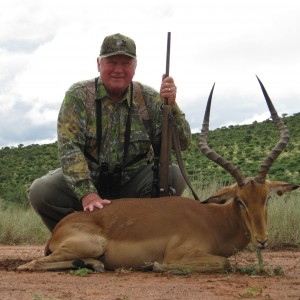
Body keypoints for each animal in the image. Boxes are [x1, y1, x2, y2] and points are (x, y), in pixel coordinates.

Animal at [18, 76, 298, 274]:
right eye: (240, 200)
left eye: (266, 198)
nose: (262, 240)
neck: (213, 220)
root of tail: (58, 230)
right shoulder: (180, 253)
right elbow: (223, 263)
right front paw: (153, 265)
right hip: (93, 244)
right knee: (30, 264)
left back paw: (92, 264)